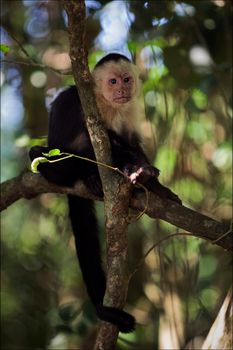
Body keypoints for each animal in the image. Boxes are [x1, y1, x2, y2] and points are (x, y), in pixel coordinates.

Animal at [29, 53, 182, 332]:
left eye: (126, 79)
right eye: (112, 81)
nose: (122, 89)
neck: (106, 103)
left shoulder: (130, 109)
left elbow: (132, 141)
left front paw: (156, 186)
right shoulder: (83, 104)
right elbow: (95, 145)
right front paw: (137, 169)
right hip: (59, 170)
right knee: (46, 153)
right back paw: (93, 177)